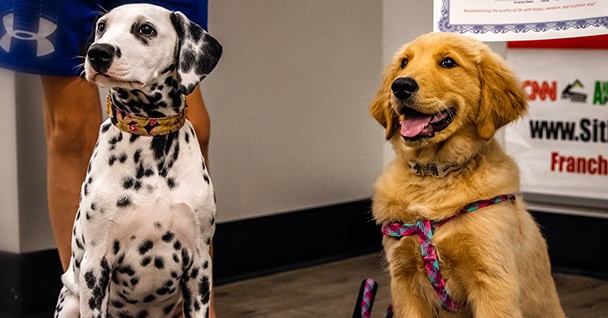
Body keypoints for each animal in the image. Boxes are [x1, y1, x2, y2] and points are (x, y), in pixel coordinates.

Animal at [54, 3, 221, 318]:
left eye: (146, 29)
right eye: (102, 26)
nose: (98, 52)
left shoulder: (199, 267)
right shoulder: (96, 266)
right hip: (70, 300)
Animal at [370, 33, 564, 318]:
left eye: (448, 62)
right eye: (404, 62)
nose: (401, 85)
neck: (435, 174)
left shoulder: (493, 280)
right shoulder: (404, 280)